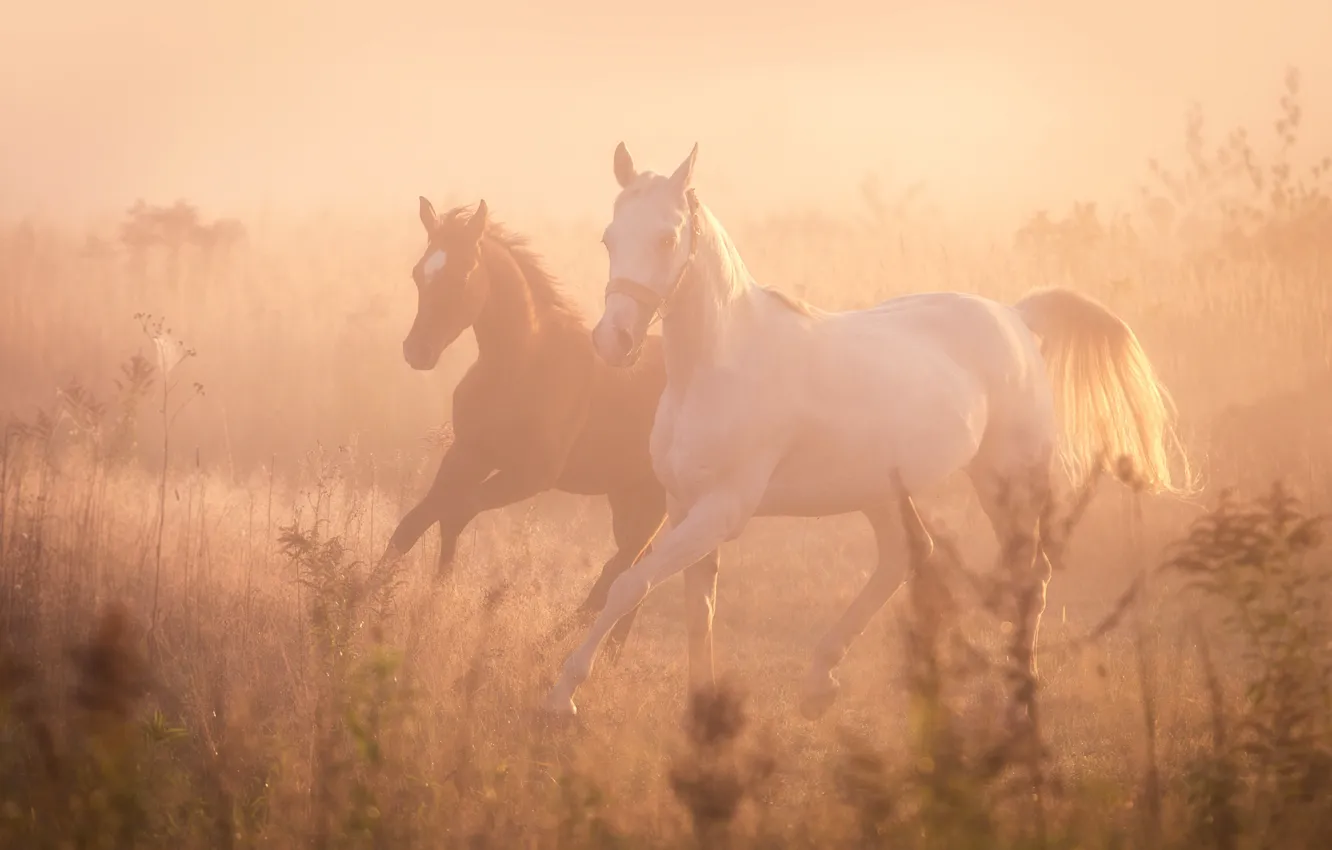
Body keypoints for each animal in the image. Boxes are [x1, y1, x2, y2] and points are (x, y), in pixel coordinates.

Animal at [377, 195, 721, 662]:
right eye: (419, 273)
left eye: (462, 273)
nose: (417, 351)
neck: (521, 363)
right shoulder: (468, 453)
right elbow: (415, 522)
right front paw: (367, 600)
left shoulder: (530, 476)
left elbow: (455, 511)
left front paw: (435, 603)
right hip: (627, 493)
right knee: (636, 566)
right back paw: (609, 658)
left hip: (654, 497)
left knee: (623, 568)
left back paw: (551, 650)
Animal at [542, 142, 1192, 719]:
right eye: (608, 239)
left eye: (666, 238)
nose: (613, 341)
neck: (721, 364)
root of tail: (1016, 317)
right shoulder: (685, 507)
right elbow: (696, 607)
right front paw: (701, 712)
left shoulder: (721, 510)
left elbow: (630, 585)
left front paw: (563, 696)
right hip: (881, 492)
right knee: (905, 556)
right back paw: (819, 681)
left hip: (1006, 480)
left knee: (1029, 579)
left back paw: (1021, 697)